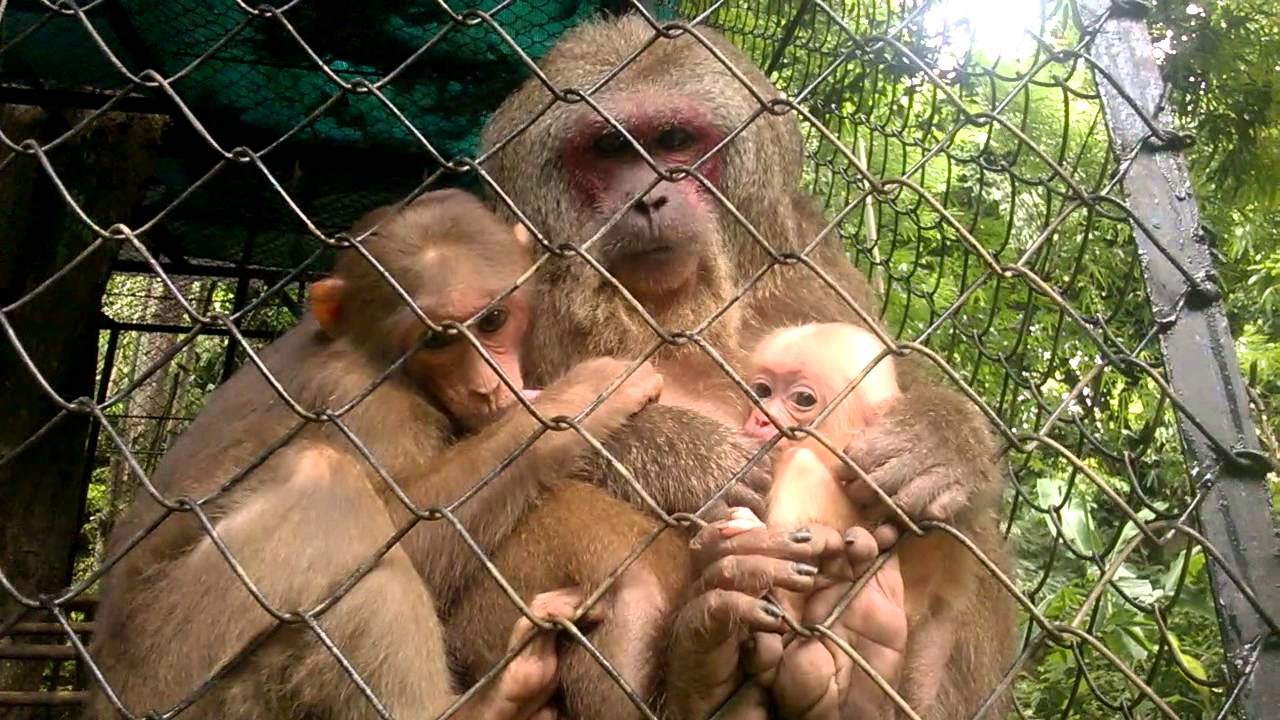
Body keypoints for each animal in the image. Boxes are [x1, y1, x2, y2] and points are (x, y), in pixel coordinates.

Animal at [84, 189, 665, 720]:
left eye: (493, 320)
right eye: (437, 340)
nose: (485, 386)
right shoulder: (356, 400)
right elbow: (408, 527)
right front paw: (578, 403)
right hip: (176, 672)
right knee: (325, 486)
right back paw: (481, 704)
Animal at [477, 12, 1016, 719]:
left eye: (674, 142)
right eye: (610, 150)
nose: (650, 199)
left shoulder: (808, 260)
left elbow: (892, 379)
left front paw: (937, 439)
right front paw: (690, 459)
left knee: (959, 533)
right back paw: (703, 665)